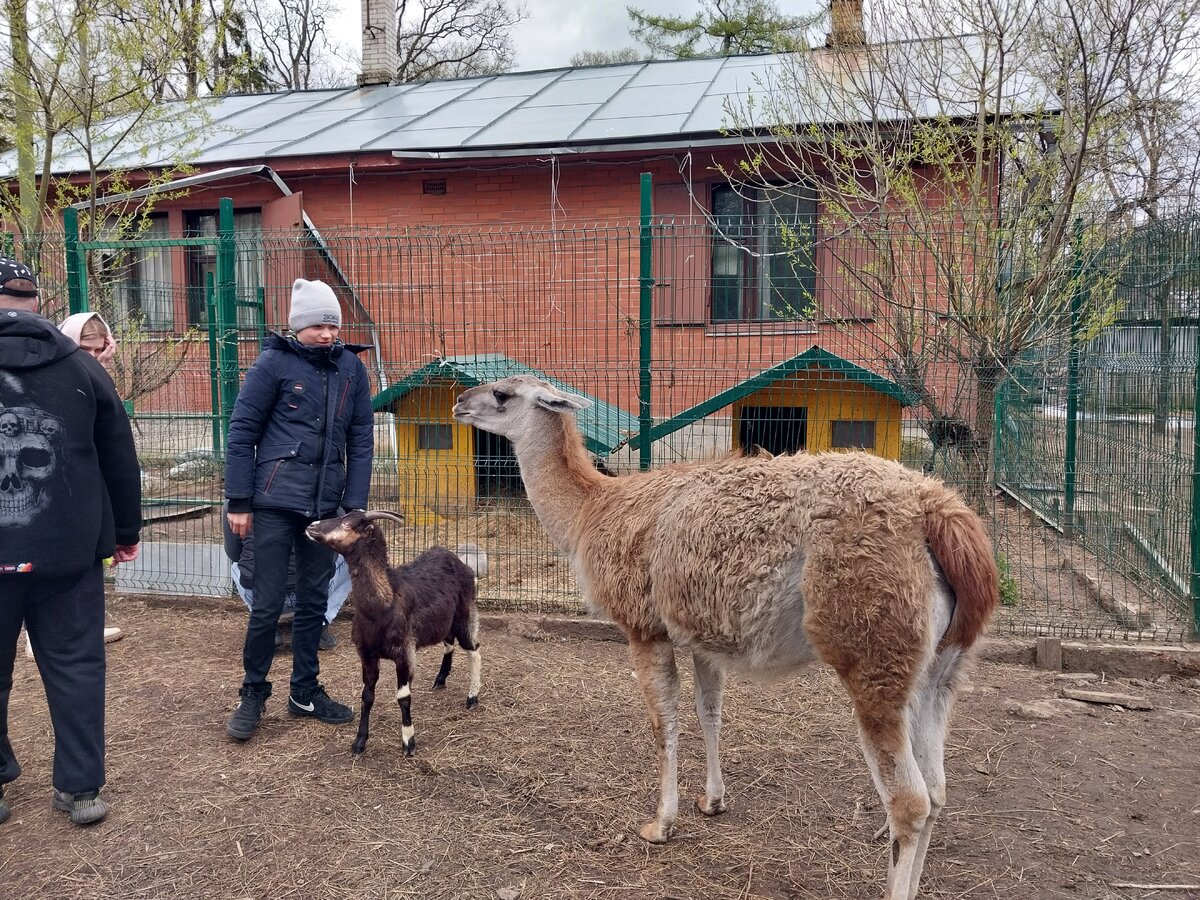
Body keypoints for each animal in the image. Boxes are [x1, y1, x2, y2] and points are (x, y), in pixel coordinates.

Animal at [304, 511, 482, 758]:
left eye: (348, 524)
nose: (311, 525)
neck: (382, 606)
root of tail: (459, 562)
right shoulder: (367, 655)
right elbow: (367, 696)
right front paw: (359, 742)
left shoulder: (404, 653)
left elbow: (403, 697)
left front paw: (408, 741)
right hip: (444, 621)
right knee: (449, 643)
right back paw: (440, 679)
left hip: (465, 613)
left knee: (474, 650)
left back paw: (472, 697)